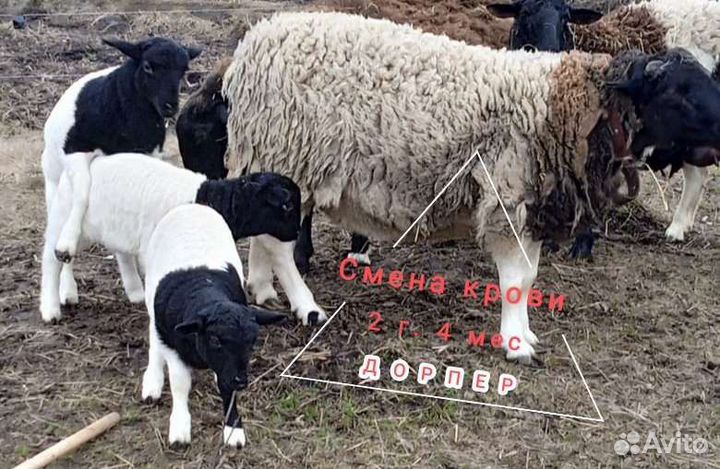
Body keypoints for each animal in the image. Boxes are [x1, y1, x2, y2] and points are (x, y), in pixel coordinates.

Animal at [40, 152, 326, 326]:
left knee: (103, 254)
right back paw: (51, 308)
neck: (214, 201)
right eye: (288, 206)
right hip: (66, 218)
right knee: (50, 259)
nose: (295, 234)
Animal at [42, 36, 201, 306]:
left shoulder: (145, 158)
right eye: (148, 67)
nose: (170, 107)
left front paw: (135, 279)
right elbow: (82, 193)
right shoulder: (76, 152)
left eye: (184, 70)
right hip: (54, 186)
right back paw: (67, 287)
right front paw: (67, 245)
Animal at [142, 203, 285, 447]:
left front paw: (233, 428)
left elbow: (226, 386)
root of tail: (192, 206)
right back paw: (152, 380)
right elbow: (180, 383)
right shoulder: (173, 349)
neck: (204, 290)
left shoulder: (230, 367)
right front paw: (180, 428)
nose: (241, 381)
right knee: (153, 336)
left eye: (253, 341)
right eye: (215, 339)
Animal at [222, 12, 720, 363]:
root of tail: (252, 45)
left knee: (264, 234)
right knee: (281, 246)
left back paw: (262, 288)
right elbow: (517, 279)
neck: (567, 108)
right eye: (677, 91)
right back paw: (306, 306)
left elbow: (530, 276)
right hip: (289, 157)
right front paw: (516, 343)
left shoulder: (531, 204)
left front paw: (525, 332)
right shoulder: (510, 196)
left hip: (273, 163)